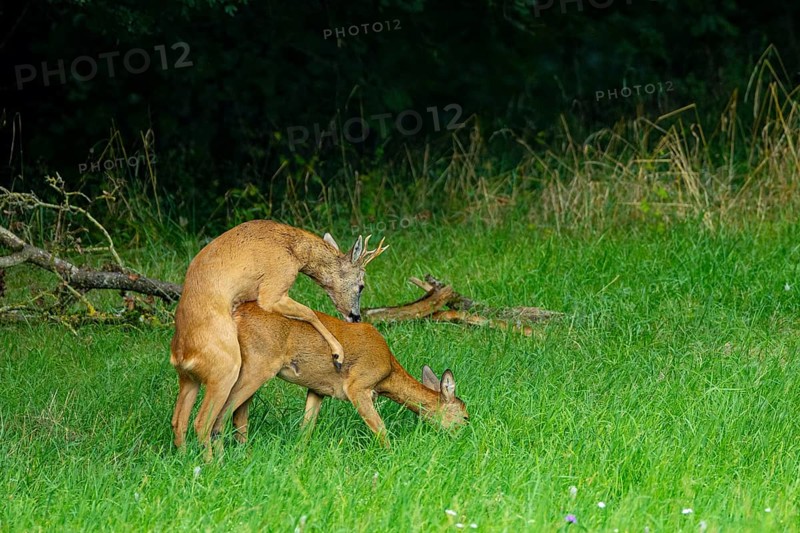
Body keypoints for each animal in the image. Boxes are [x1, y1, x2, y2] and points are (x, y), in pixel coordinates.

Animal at [169, 220, 388, 459]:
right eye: (362, 285)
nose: (355, 316)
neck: (296, 251)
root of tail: (181, 356)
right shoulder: (273, 288)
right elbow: (309, 312)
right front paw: (338, 353)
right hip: (225, 369)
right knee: (202, 422)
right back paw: (213, 462)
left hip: (189, 379)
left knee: (178, 421)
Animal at [209, 301, 468, 449]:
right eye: (465, 416)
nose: (463, 437)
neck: (388, 372)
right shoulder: (358, 385)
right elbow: (381, 430)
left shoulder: (317, 389)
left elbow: (306, 430)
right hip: (257, 365)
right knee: (220, 416)